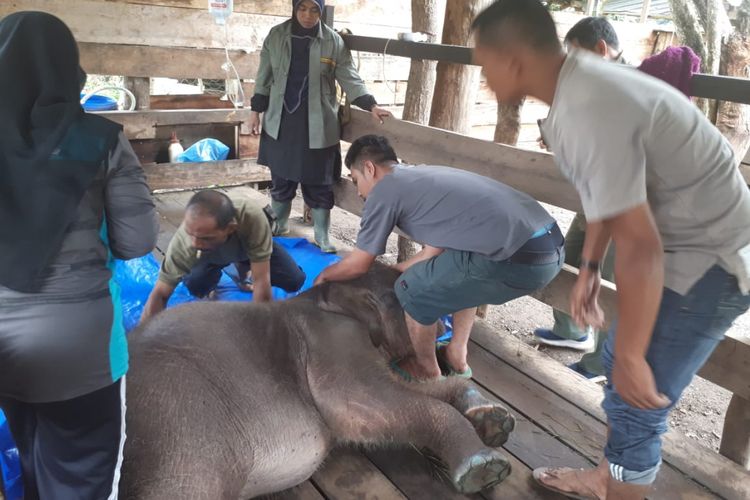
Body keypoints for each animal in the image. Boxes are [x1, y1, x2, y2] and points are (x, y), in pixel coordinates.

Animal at [120, 266, 520, 496]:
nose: (441, 327)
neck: (327, 295)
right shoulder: (329, 340)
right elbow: (365, 405)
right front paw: (486, 469)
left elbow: (406, 389)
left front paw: (495, 421)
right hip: (179, 428)